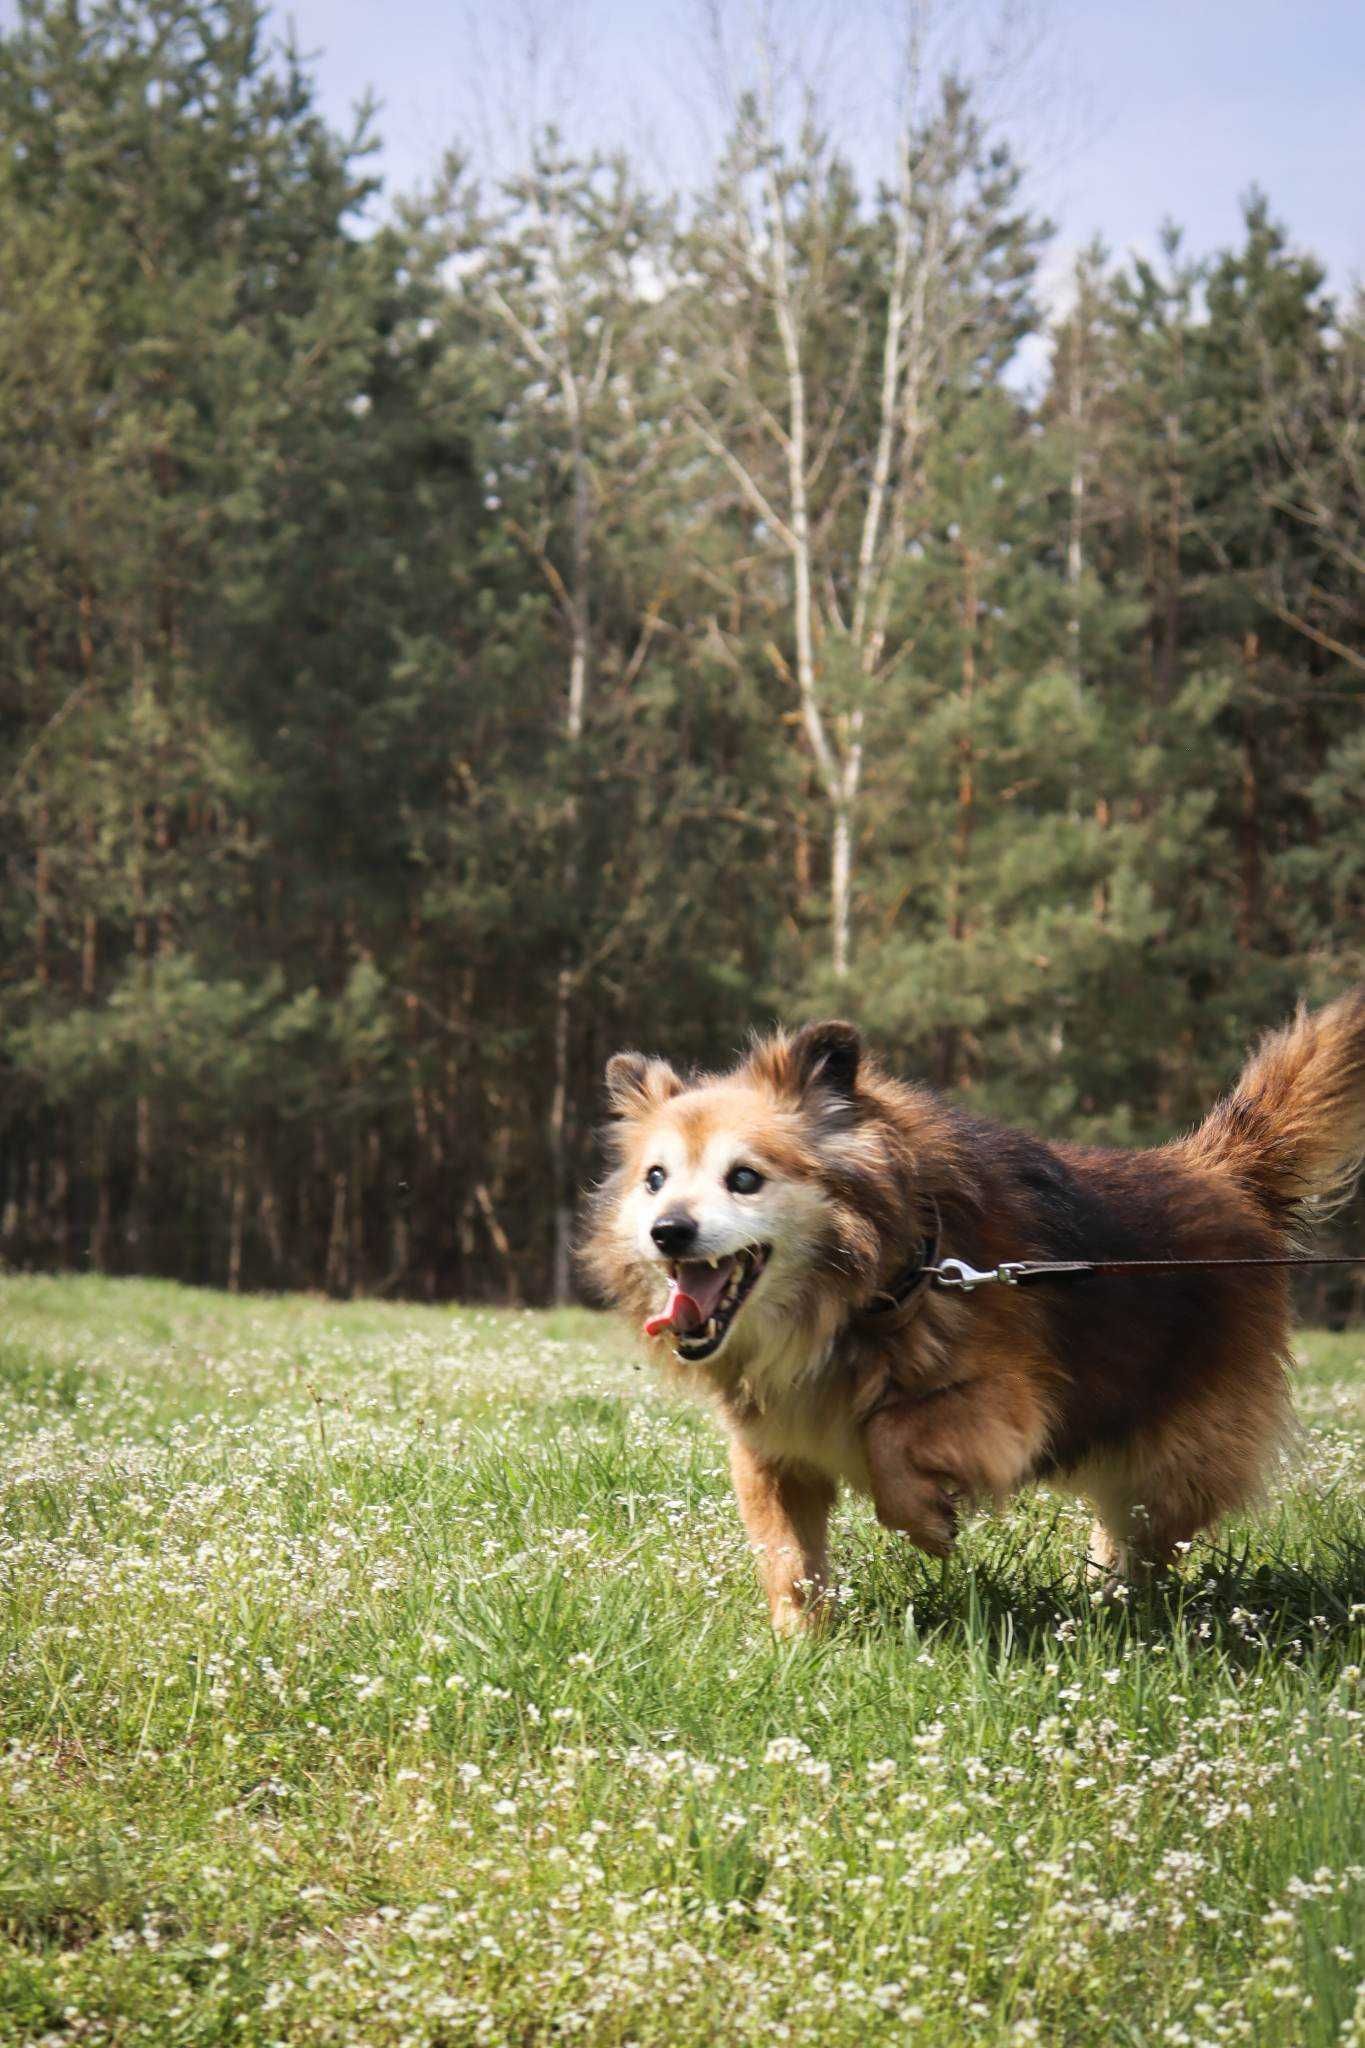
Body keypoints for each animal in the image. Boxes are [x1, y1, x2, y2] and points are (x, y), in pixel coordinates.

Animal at [581, 991, 1365, 1630]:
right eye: (655, 1180)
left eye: (743, 1178)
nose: (667, 1232)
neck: (877, 1278)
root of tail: (1221, 1171)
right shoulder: (772, 1449)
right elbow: (787, 1557)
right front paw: (798, 1648)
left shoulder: (1007, 1407)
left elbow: (890, 1434)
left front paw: (924, 1526)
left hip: (1177, 1456)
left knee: (1145, 1534)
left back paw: (1115, 1607)